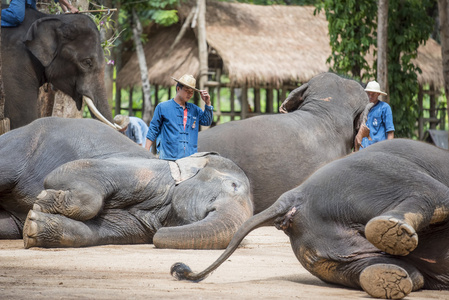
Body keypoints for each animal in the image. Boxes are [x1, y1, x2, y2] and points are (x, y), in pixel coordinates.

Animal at [0, 117, 252, 248]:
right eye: (233, 186)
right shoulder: (141, 172)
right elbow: (69, 170)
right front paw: (42, 200)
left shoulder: (137, 225)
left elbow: (93, 233)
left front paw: (33, 226)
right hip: (19, 146)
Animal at [171, 139, 448, 298]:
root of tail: (294, 194)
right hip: (379, 175)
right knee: (434, 195)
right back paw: (391, 236)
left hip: (321, 248)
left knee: (401, 272)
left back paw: (386, 279)